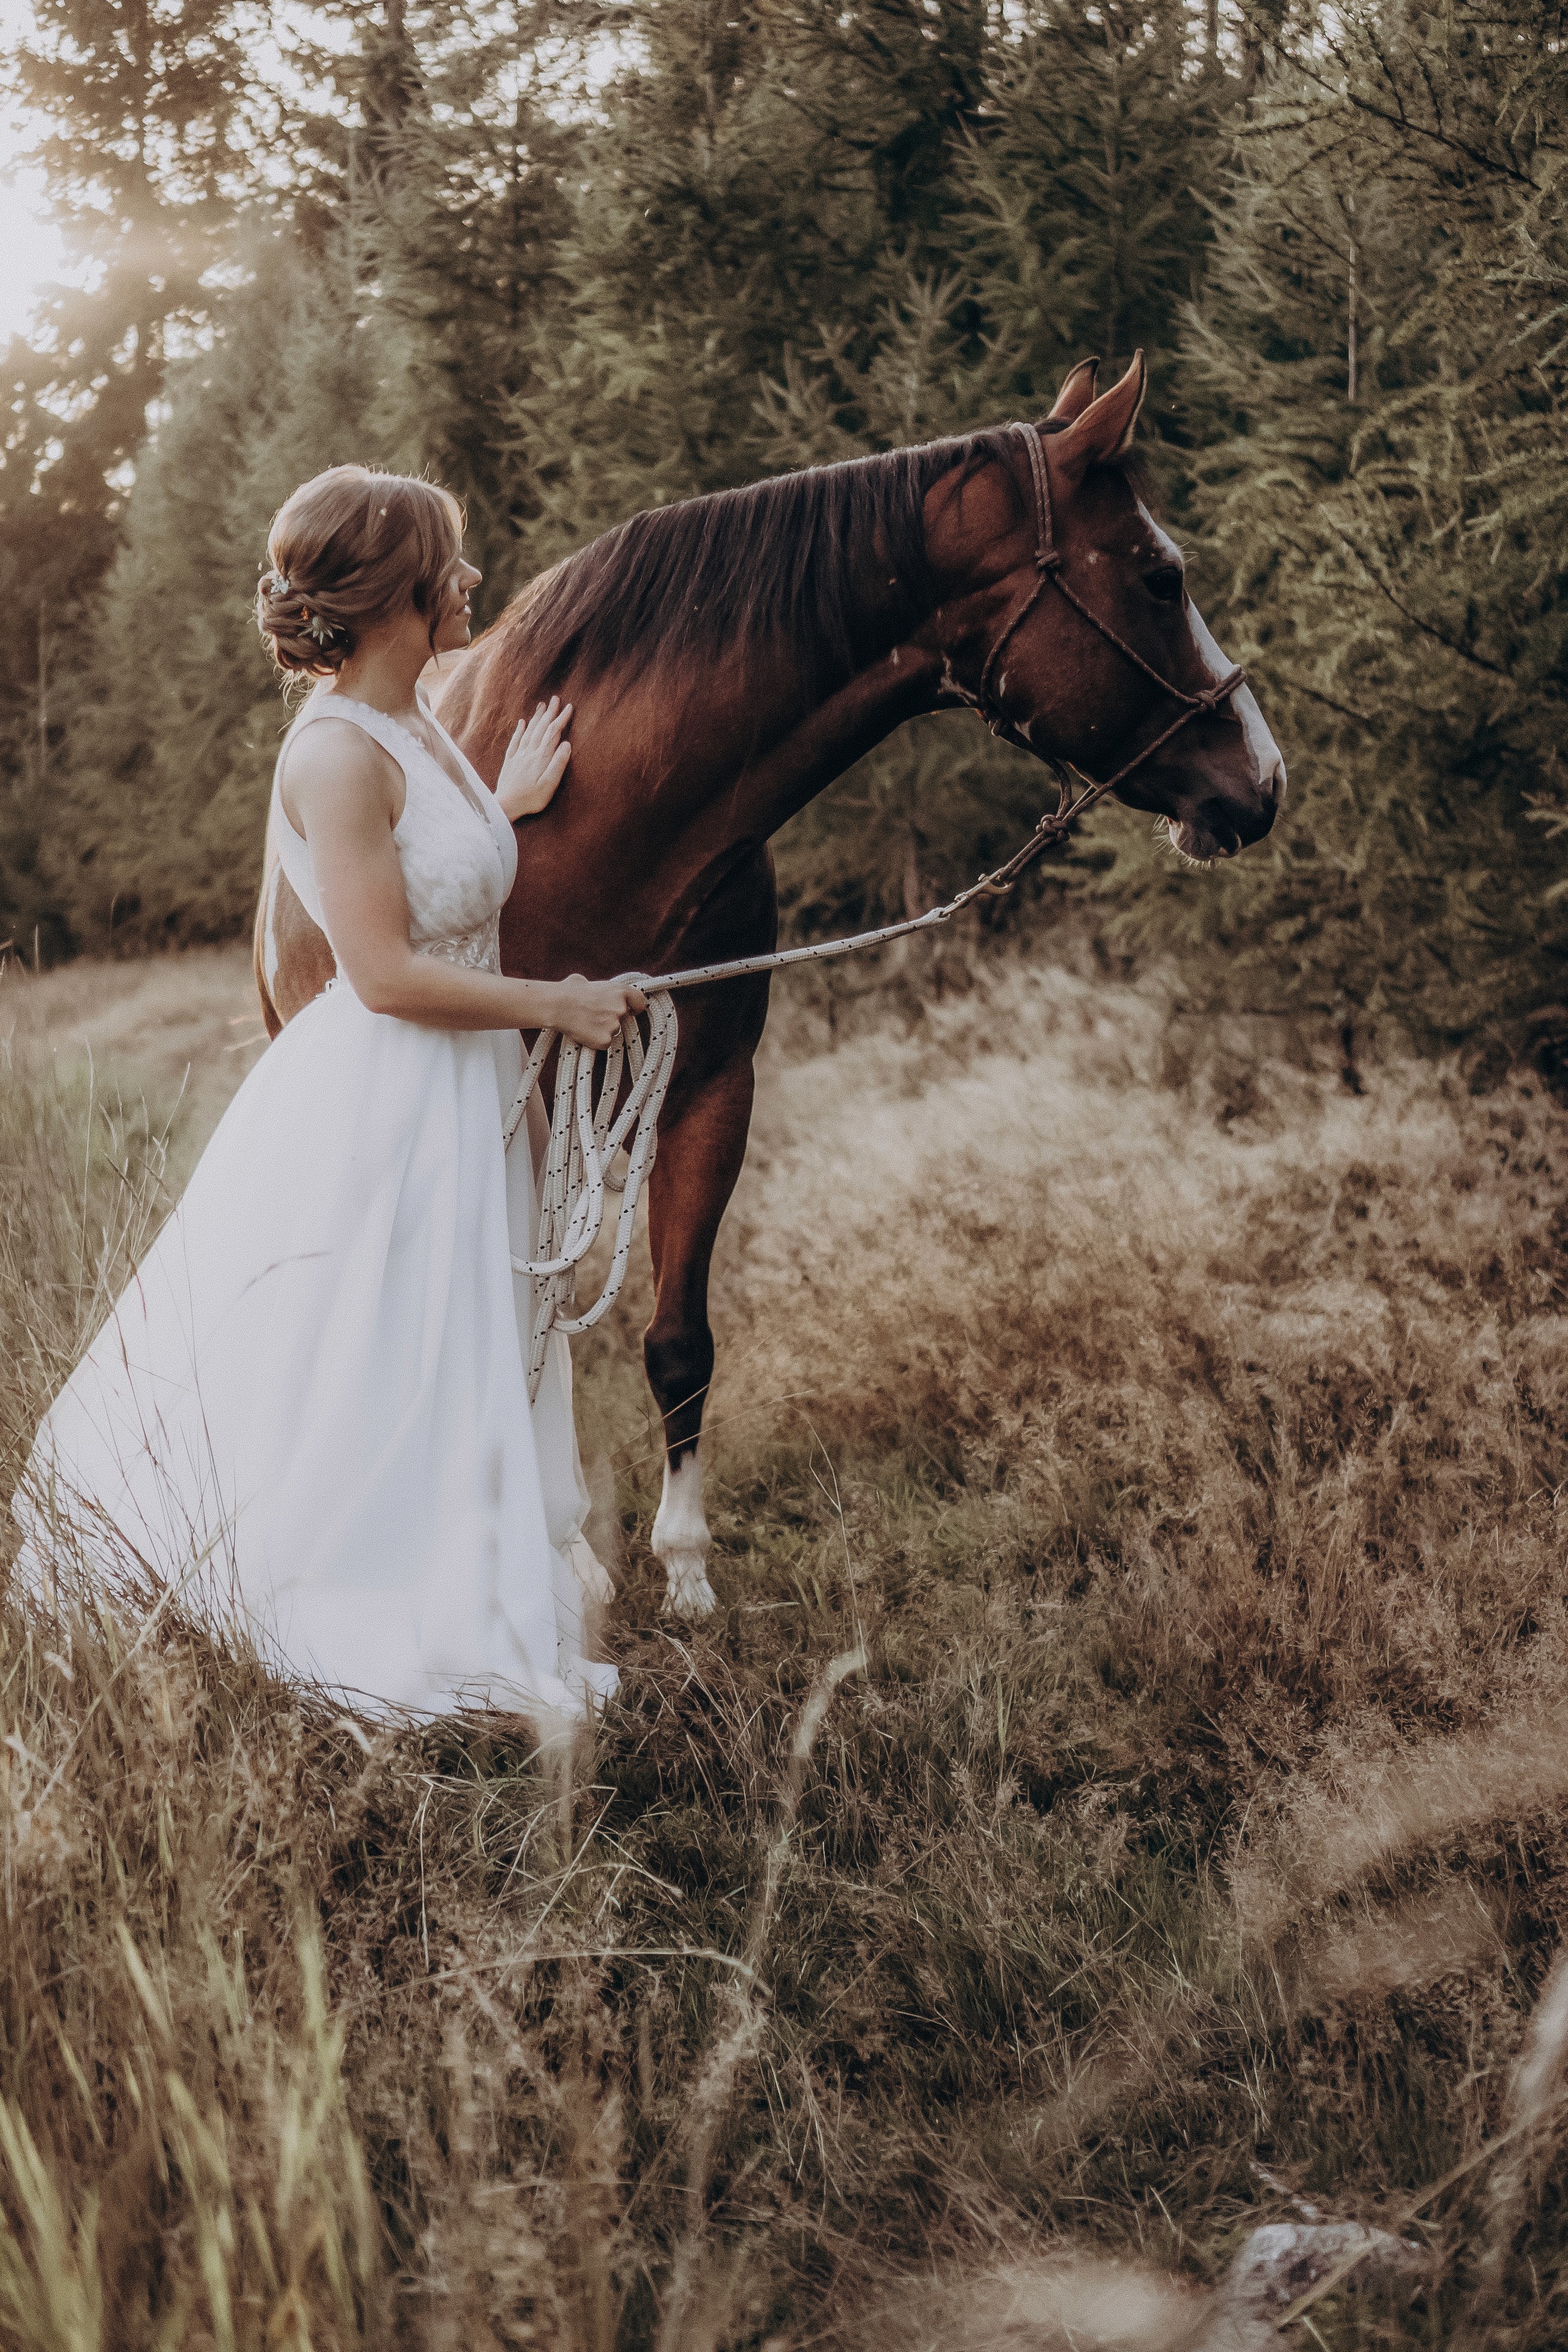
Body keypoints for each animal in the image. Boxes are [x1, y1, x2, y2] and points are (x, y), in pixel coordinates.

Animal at [255, 352, 1286, 1618]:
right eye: (1157, 576)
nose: (1259, 780)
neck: (612, 812)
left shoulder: (707, 1086)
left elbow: (677, 1341)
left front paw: (685, 1563)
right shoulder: (527, 1091)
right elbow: (528, 1319)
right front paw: (566, 1556)